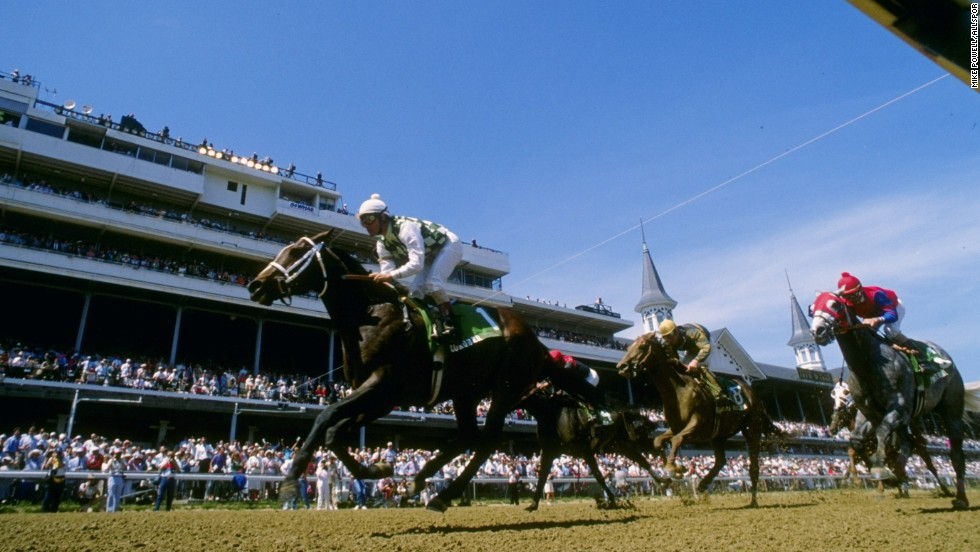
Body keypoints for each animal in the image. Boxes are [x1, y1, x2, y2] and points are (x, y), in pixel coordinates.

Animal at [249, 231, 556, 512]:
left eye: (295, 252)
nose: (256, 284)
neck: (371, 315)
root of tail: (536, 341)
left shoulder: (381, 384)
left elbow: (325, 417)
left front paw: (290, 482)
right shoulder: (381, 397)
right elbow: (334, 431)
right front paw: (377, 469)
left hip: (505, 386)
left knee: (487, 440)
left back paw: (442, 494)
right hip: (466, 393)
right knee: (468, 436)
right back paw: (420, 483)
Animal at [612, 332, 780, 508]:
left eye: (642, 346)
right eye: (628, 348)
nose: (621, 366)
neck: (677, 390)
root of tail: (753, 395)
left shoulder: (698, 425)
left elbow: (676, 440)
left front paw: (673, 468)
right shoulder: (676, 427)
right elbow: (658, 441)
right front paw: (675, 470)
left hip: (752, 429)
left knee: (753, 466)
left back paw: (753, 500)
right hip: (718, 435)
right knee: (721, 460)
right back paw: (702, 484)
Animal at [808, 288, 976, 508]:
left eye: (834, 304)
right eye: (812, 309)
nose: (817, 331)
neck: (867, 364)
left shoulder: (898, 409)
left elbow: (882, 432)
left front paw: (881, 471)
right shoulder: (868, 412)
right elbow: (857, 442)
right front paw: (885, 475)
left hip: (951, 407)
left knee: (953, 453)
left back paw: (959, 497)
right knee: (907, 445)